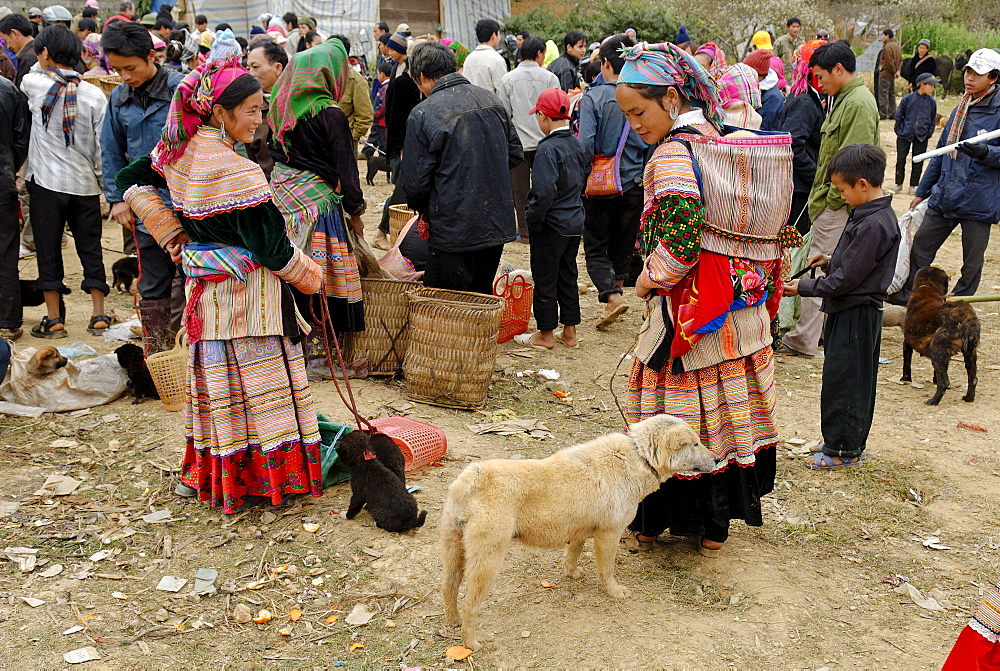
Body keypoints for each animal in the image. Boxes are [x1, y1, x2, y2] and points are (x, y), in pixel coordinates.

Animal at [442, 414, 716, 652]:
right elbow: (607, 570)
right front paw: (614, 592)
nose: (717, 460)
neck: (639, 456)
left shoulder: (580, 531)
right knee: (470, 603)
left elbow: (572, 555)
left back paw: (453, 621)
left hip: (453, 552)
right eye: (695, 444)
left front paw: (572, 574)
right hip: (488, 560)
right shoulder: (609, 534)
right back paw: (470, 642)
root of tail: (473, 478)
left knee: (449, 589)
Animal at [904, 266, 980, 404]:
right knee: (973, 379)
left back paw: (933, 401)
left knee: (944, 382)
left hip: (936, 350)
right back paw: (968, 398)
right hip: (970, 353)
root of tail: (968, 318)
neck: (927, 288)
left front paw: (905, 379)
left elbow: (907, 364)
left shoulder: (907, 343)